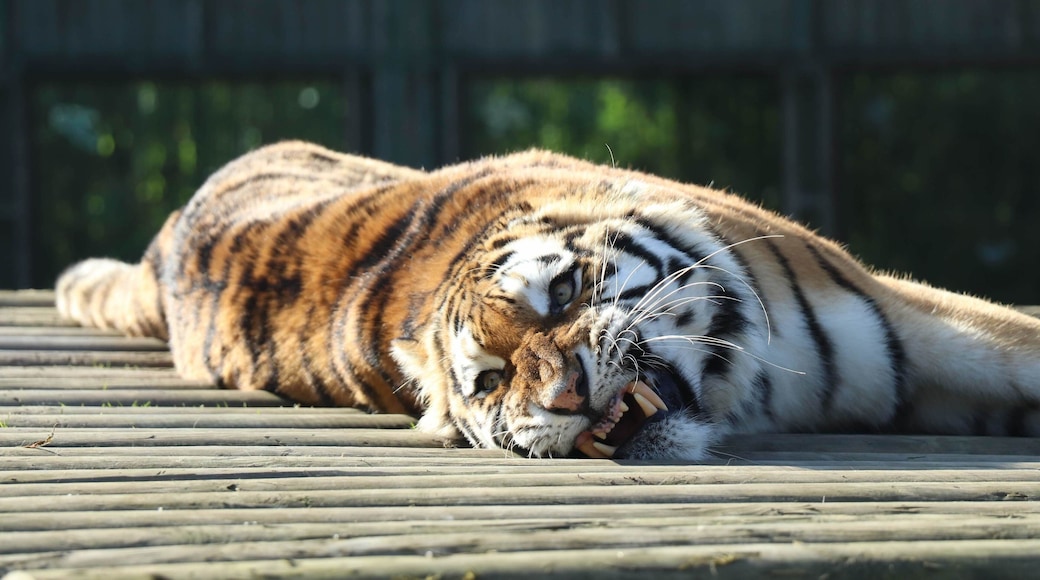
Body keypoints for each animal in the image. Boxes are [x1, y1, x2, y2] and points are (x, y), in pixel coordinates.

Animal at [56, 140, 1040, 460]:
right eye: (490, 380)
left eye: (563, 290)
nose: (564, 394)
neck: (752, 396)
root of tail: (172, 230)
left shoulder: (913, 323)